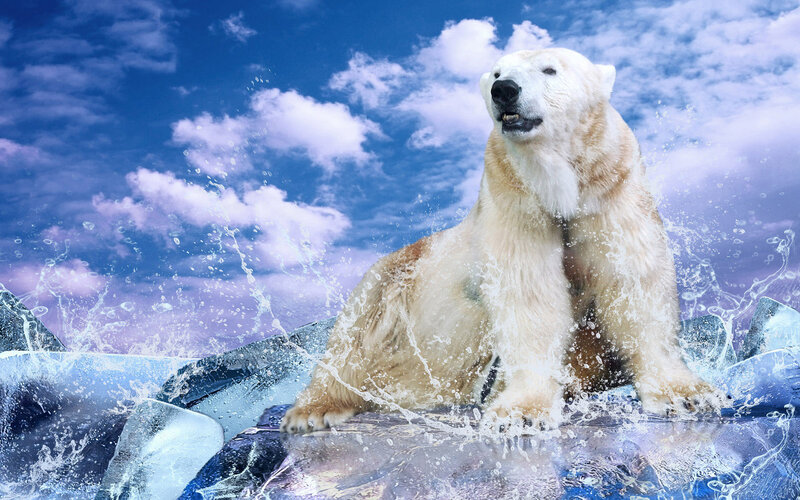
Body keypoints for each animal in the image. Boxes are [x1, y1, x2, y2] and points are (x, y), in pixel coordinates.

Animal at [280, 48, 726, 434]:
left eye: (550, 69)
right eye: (496, 72)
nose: (504, 89)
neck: (556, 186)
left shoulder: (611, 186)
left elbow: (633, 279)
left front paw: (687, 395)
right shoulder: (513, 198)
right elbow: (527, 292)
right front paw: (521, 414)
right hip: (393, 278)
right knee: (354, 334)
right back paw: (314, 410)